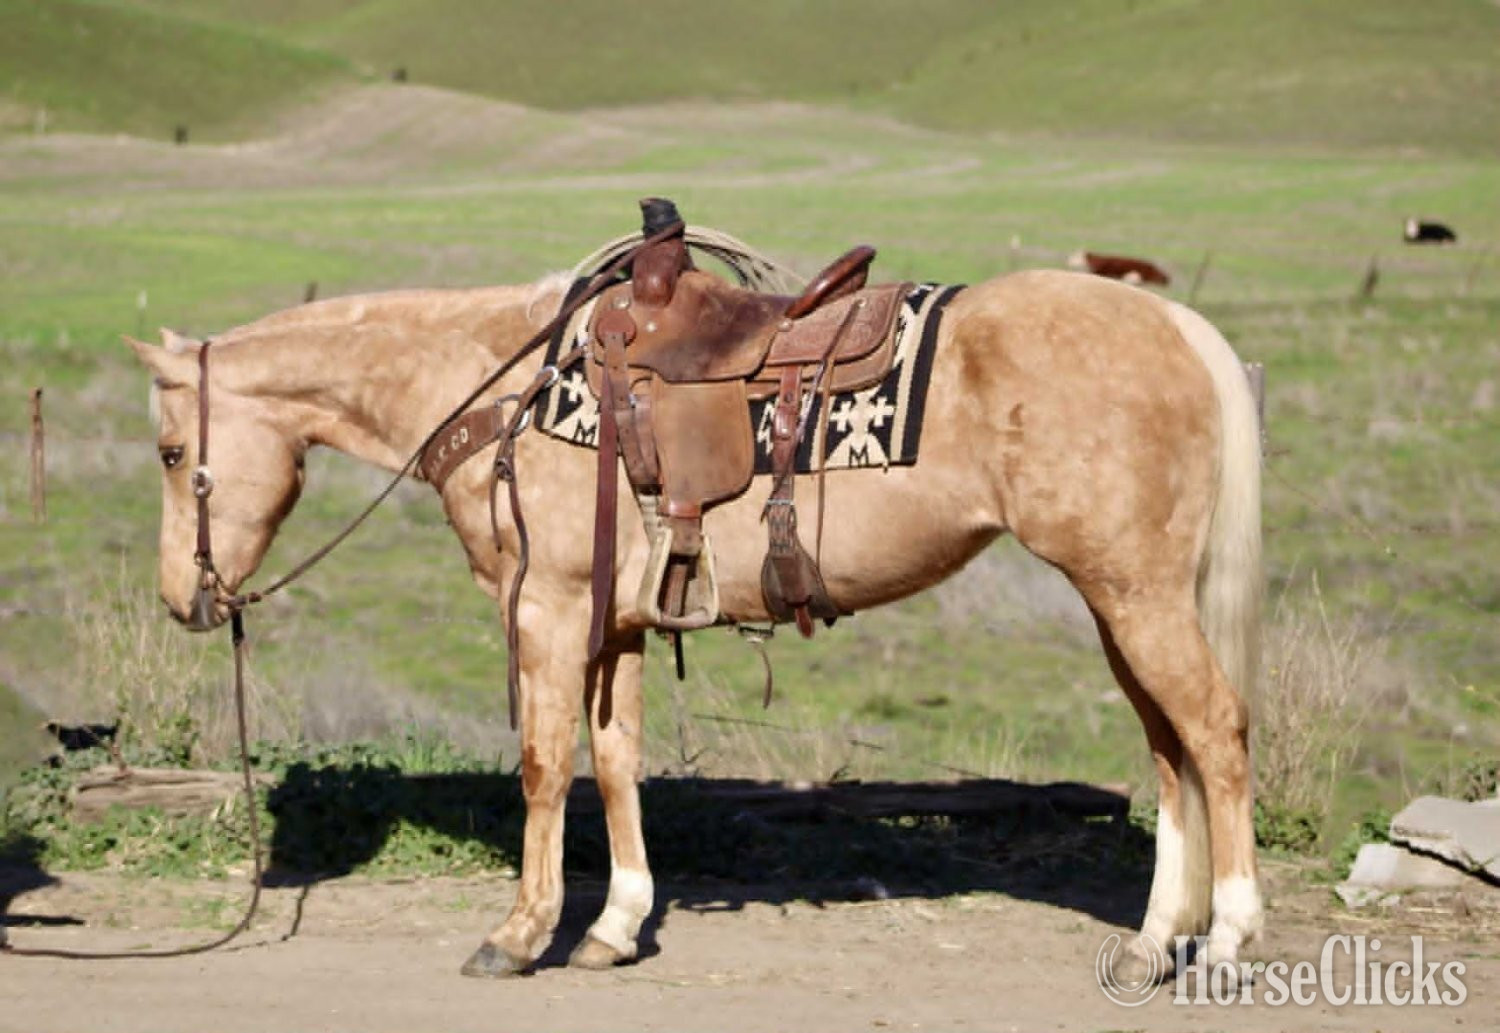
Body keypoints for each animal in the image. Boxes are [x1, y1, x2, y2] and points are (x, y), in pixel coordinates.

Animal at [127, 263, 1263, 982]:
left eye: (174, 454)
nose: (186, 599)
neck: (503, 389)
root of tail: (1181, 329)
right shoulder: (615, 621)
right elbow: (617, 757)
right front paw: (615, 925)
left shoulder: (545, 608)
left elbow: (544, 764)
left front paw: (520, 933)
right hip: (1123, 601)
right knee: (1169, 749)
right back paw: (1154, 941)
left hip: (1136, 593)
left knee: (1214, 732)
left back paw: (1230, 936)